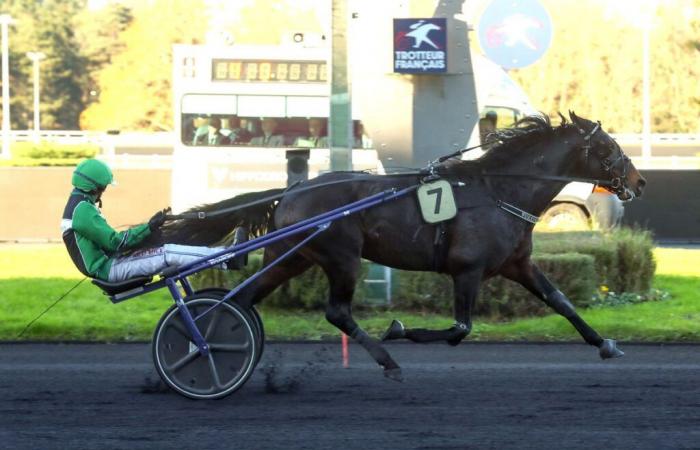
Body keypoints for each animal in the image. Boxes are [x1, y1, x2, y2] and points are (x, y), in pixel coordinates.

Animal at [153, 112, 644, 380]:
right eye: (609, 146)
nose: (638, 182)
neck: (499, 189)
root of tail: (291, 191)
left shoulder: (516, 264)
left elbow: (561, 301)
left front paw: (604, 343)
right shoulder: (467, 270)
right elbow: (459, 329)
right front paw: (398, 329)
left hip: (291, 258)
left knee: (242, 302)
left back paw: (207, 348)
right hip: (342, 257)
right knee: (336, 312)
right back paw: (386, 358)